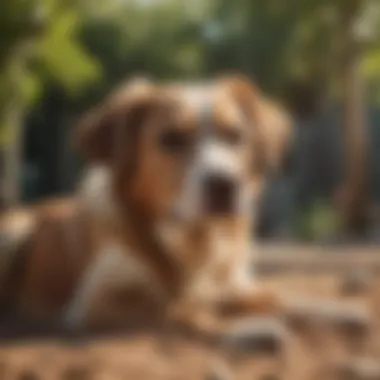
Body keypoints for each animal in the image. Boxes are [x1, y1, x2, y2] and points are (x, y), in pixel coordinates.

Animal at [0, 75, 292, 330]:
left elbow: (273, 300)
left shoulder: (239, 285)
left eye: (235, 135)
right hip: (14, 231)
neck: (194, 244)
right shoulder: (95, 301)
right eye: (171, 138)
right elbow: (178, 307)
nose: (225, 184)